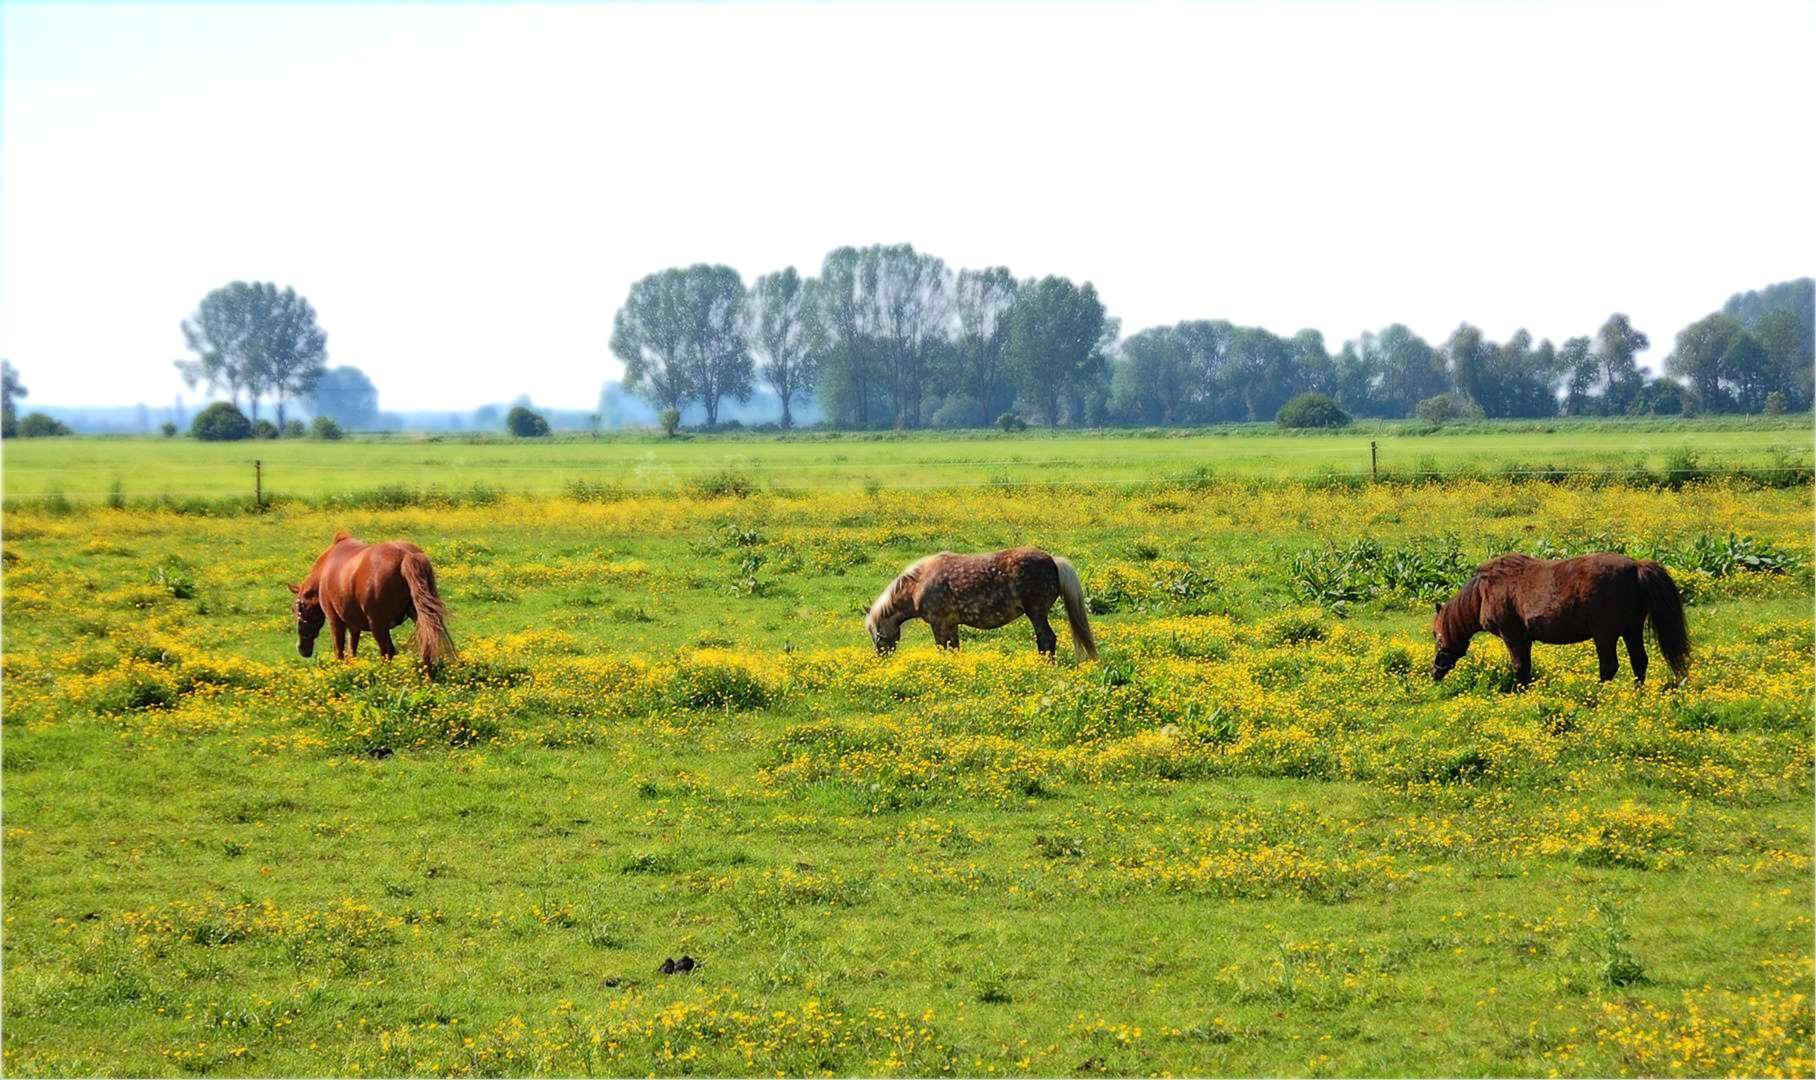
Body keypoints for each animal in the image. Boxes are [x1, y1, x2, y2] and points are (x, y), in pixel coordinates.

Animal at [286, 530, 454, 671]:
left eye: (297, 609)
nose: (302, 649)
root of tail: (406, 555)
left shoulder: (335, 621)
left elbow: (339, 651)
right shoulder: (353, 624)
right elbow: (352, 649)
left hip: (377, 625)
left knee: (388, 651)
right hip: (420, 616)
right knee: (427, 645)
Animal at [860, 548, 1096, 660]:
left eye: (876, 634)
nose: (881, 657)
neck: (919, 584)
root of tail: (1053, 561)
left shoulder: (938, 624)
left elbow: (941, 648)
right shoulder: (951, 624)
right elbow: (954, 649)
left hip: (1036, 613)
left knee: (1046, 639)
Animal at [1431, 551, 1685, 689]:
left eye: (1437, 636)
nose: (1435, 672)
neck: (1483, 591)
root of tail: (1635, 566)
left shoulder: (1512, 636)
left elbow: (1519, 667)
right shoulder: (1525, 640)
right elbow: (1526, 666)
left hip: (1605, 635)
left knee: (1609, 666)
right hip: (1632, 630)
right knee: (1639, 662)